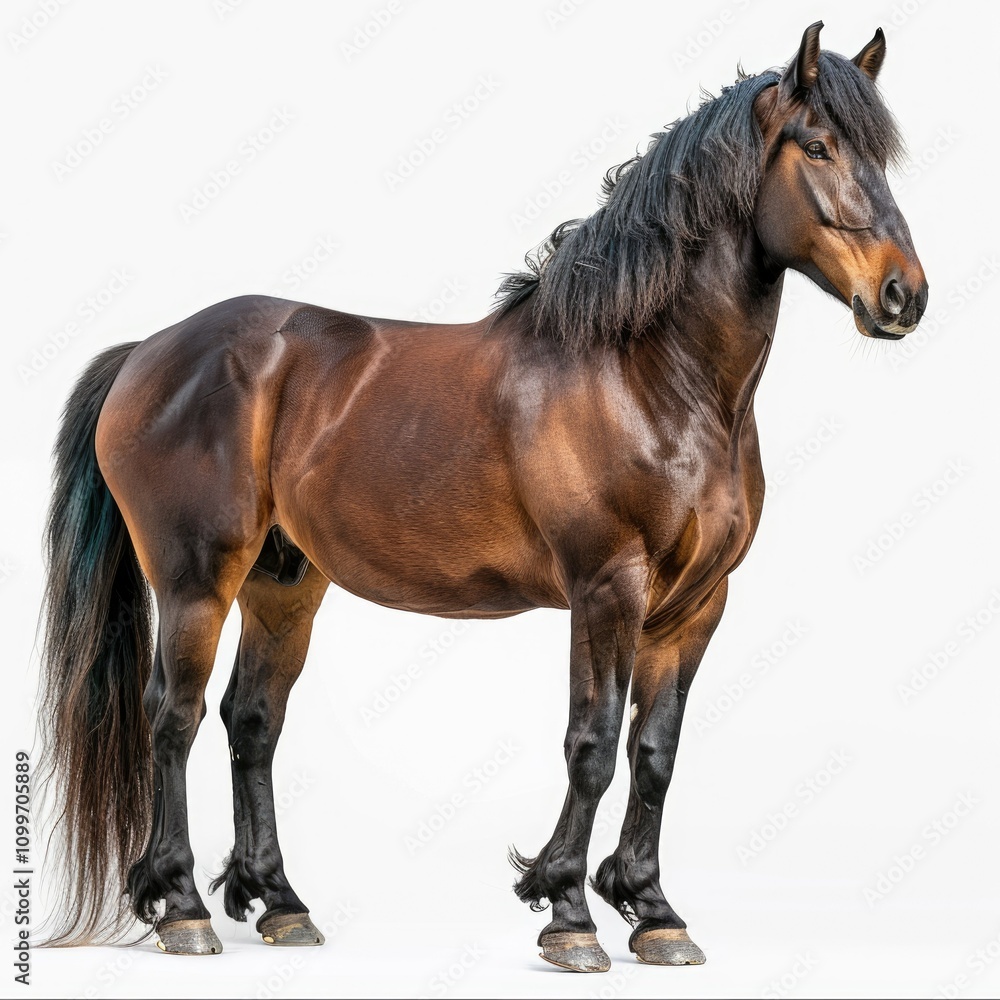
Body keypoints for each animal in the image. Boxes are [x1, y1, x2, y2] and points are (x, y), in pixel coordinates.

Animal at [38, 21, 926, 973]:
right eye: (819, 147)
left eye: (881, 157)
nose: (904, 296)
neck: (649, 376)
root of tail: (147, 351)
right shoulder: (607, 588)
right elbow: (592, 745)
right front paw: (569, 913)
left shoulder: (696, 606)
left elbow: (655, 752)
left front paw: (654, 913)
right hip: (197, 581)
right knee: (175, 717)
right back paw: (181, 908)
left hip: (284, 585)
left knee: (252, 723)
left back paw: (280, 903)